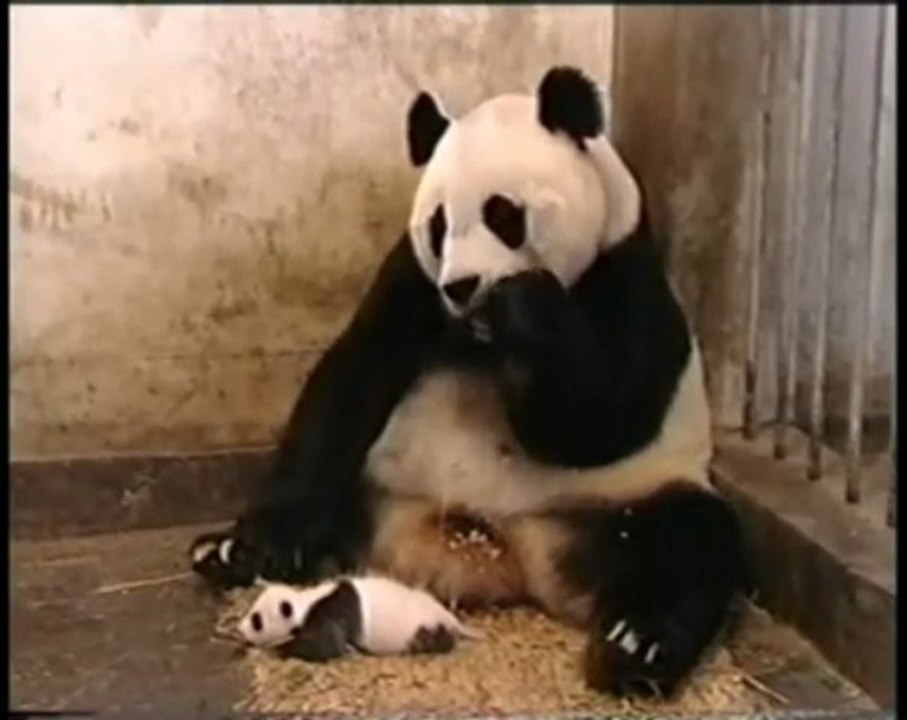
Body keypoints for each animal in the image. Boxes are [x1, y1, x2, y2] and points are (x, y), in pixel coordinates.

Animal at [190, 65, 747, 699]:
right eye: (439, 226)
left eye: (504, 214)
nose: (463, 286)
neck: (481, 334)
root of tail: (504, 556)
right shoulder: (412, 280)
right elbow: (352, 377)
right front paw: (265, 542)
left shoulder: (627, 275)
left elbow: (600, 423)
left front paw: (525, 307)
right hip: (380, 484)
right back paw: (227, 553)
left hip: (621, 501)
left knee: (691, 541)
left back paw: (634, 646)